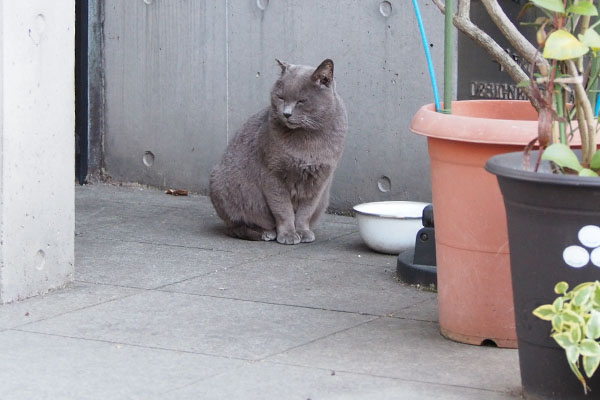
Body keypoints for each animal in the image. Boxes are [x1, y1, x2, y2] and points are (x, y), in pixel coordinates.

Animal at [210, 58, 346, 244]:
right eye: (281, 97)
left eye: (301, 101)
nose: (286, 113)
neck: (307, 140)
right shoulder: (272, 173)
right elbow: (283, 209)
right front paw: (288, 234)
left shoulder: (319, 180)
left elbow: (305, 211)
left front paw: (302, 232)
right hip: (221, 184)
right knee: (235, 227)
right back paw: (265, 233)